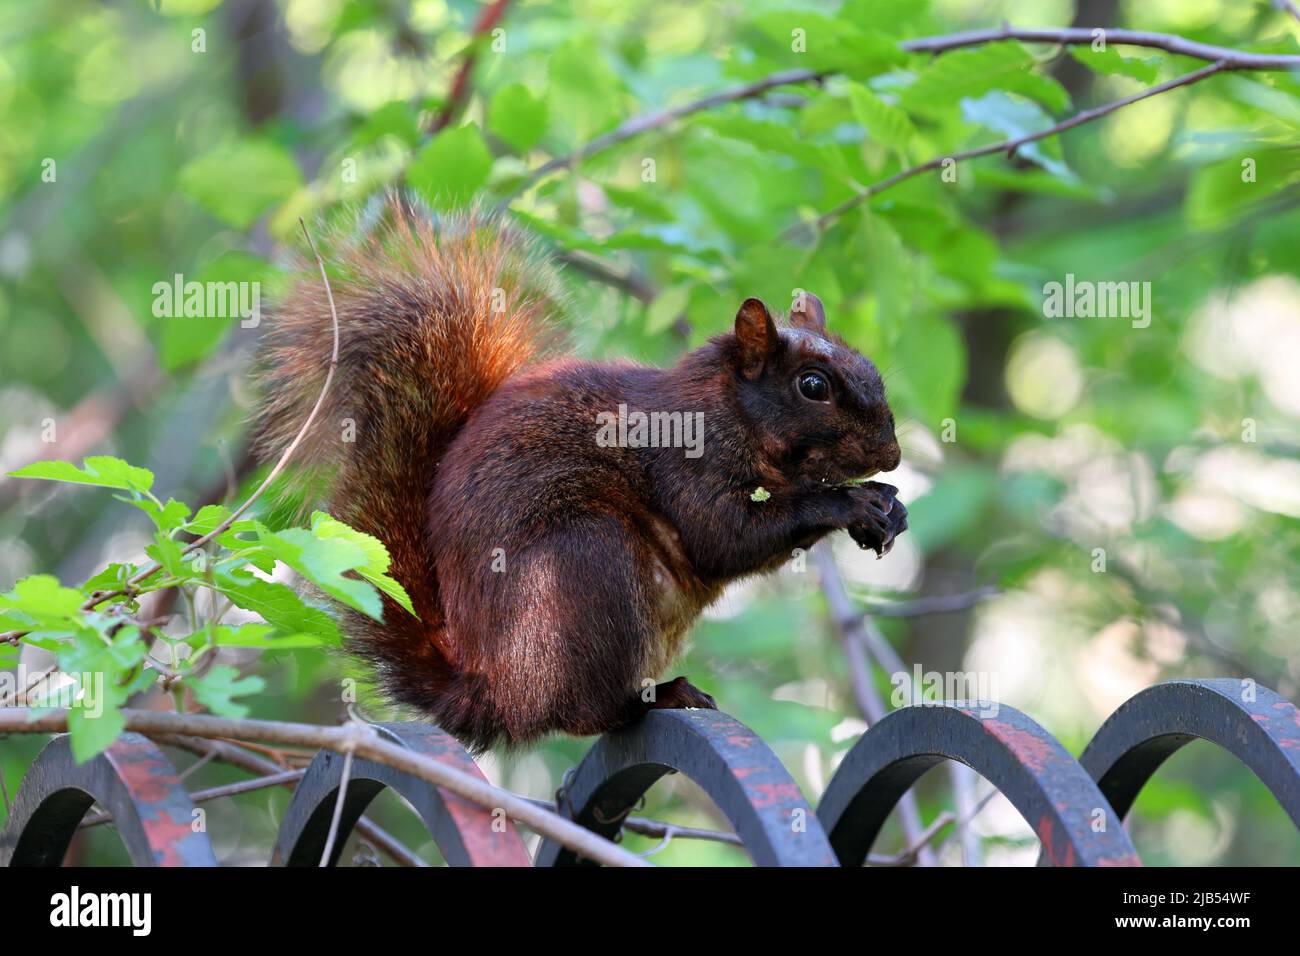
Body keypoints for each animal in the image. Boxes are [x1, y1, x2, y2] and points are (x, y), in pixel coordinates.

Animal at [253, 200, 904, 754]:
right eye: (813, 385)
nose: (894, 454)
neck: (722, 410)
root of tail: (493, 691)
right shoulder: (684, 466)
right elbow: (723, 537)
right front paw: (848, 503)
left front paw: (888, 505)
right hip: (586, 563)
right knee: (583, 714)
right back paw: (652, 700)